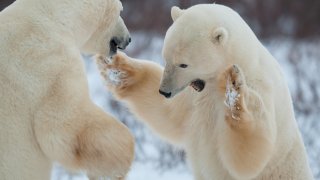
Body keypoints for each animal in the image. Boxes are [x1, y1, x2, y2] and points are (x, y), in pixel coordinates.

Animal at [0, 0, 134, 180]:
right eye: (121, 10)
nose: (129, 39)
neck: (53, 17)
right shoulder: (50, 62)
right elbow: (65, 125)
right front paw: (119, 164)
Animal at [96, 3, 314, 180]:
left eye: (184, 64)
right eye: (166, 57)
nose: (164, 91)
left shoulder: (262, 90)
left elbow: (248, 159)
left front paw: (235, 94)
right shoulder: (196, 95)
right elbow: (169, 114)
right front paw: (116, 66)